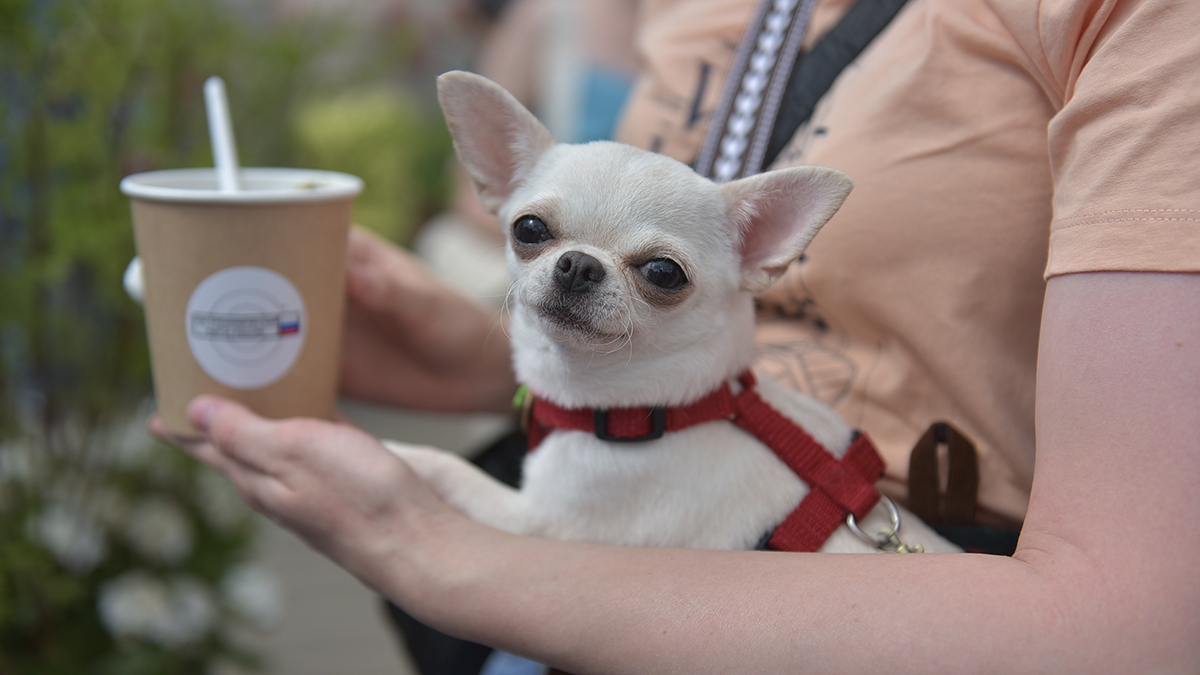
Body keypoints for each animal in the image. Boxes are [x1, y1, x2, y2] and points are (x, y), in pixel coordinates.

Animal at [388, 72, 960, 552]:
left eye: (664, 273)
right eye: (528, 229)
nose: (578, 264)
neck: (656, 410)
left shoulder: (537, 521)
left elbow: (453, 472)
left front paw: (401, 454)